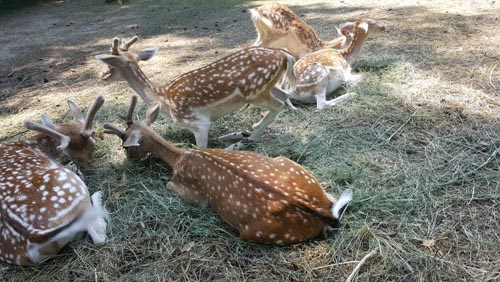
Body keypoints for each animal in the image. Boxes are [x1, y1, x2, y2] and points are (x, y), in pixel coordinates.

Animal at [0, 96, 109, 266]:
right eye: (71, 154)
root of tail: (35, 234)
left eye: (92, 145)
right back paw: (98, 194)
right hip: (70, 183)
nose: (88, 168)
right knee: (98, 235)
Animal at [95, 37, 296, 150]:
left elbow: (200, 150)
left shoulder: (198, 122)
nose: (101, 76)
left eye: (110, 65)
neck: (163, 99)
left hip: (255, 92)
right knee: (284, 95)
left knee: (278, 104)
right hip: (268, 87)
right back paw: (251, 129)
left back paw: (248, 139)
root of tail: (284, 54)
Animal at [102, 96, 352, 246]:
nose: (127, 157)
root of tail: (325, 214)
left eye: (125, 143)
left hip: (254, 232)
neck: (180, 157)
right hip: (291, 164)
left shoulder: (194, 194)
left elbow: (169, 184)